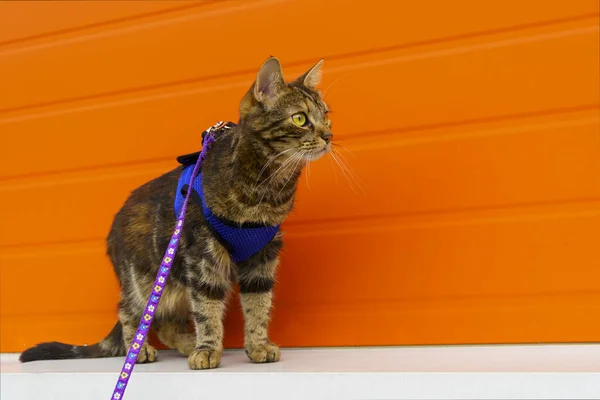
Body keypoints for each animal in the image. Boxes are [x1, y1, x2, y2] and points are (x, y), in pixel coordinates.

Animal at [19, 56, 332, 368]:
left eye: (327, 115)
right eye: (300, 118)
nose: (329, 135)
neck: (267, 189)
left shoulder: (263, 254)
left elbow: (259, 304)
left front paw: (258, 345)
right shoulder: (202, 252)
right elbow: (207, 306)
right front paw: (208, 349)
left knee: (165, 323)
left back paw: (188, 343)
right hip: (145, 279)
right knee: (130, 311)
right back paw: (142, 350)